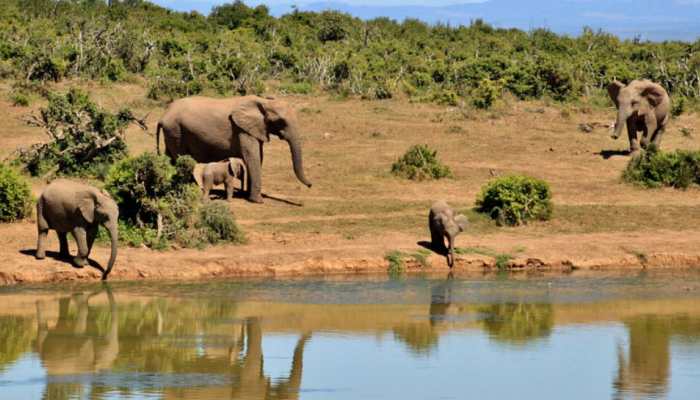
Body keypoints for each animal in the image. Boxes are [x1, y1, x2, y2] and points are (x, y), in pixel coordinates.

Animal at [156, 95, 312, 203]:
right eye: (281, 122)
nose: (311, 185)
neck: (263, 101)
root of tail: (163, 116)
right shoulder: (242, 130)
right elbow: (252, 157)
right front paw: (258, 201)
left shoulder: (254, 129)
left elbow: (258, 157)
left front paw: (248, 196)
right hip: (176, 131)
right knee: (181, 160)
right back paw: (192, 189)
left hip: (172, 133)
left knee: (170, 159)